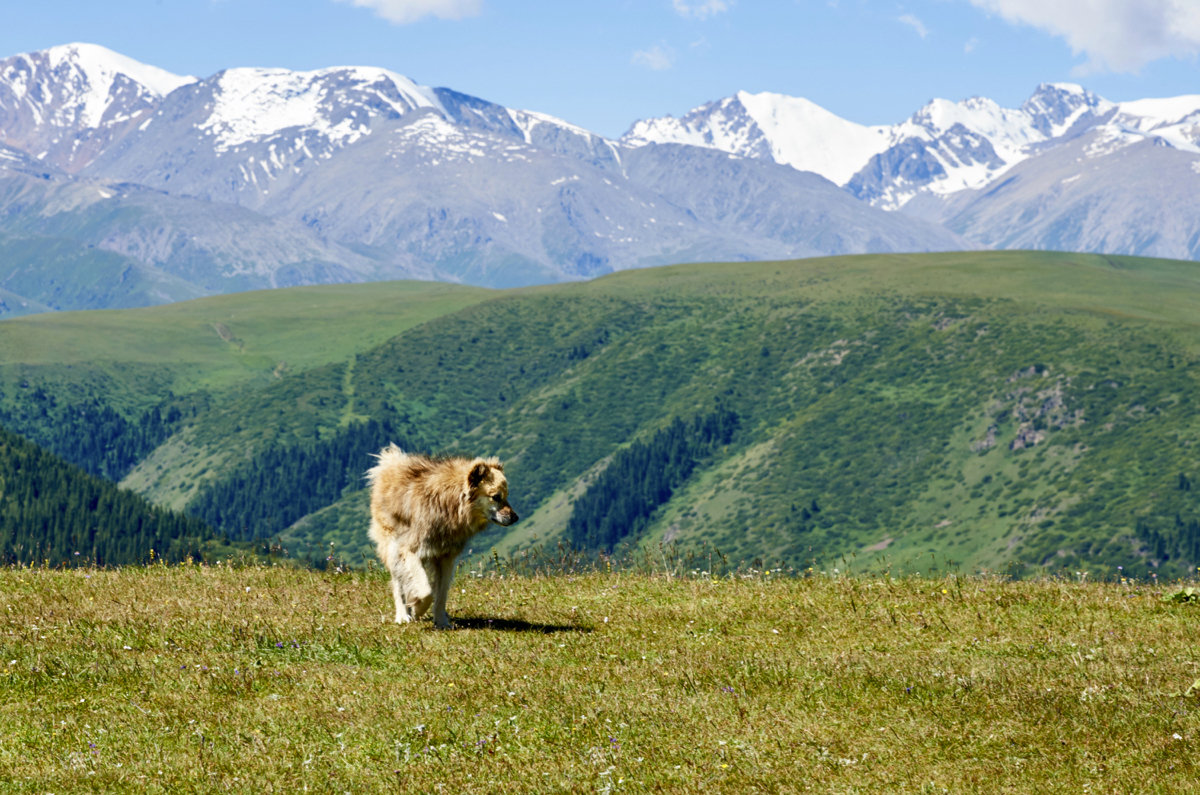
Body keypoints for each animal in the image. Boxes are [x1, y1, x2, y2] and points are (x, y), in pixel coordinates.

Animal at [364, 449, 516, 629]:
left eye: (506, 496)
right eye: (496, 497)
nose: (516, 518)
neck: (448, 504)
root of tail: (389, 461)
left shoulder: (446, 557)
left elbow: (441, 593)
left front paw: (441, 621)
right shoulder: (409, 550)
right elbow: (426, 591)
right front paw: (417, 609)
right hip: (392, 546)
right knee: (397, 583)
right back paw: (402, 615)